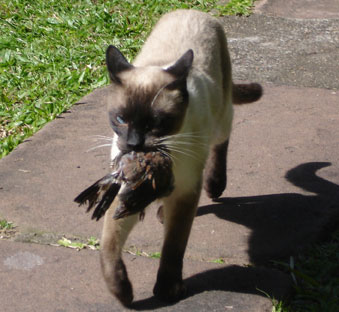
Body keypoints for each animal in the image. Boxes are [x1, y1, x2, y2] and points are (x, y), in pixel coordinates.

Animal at [99, 9, 262, 304]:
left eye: (156, 123)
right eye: (120, 120)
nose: (133, 144)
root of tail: (192, 11)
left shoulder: (186, 191)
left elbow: (173, 247)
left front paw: (167, 290)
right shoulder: (126, 190)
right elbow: (110, 246)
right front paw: (123, 294)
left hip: (220, 120)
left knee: (222, 141)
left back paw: (215, 186)